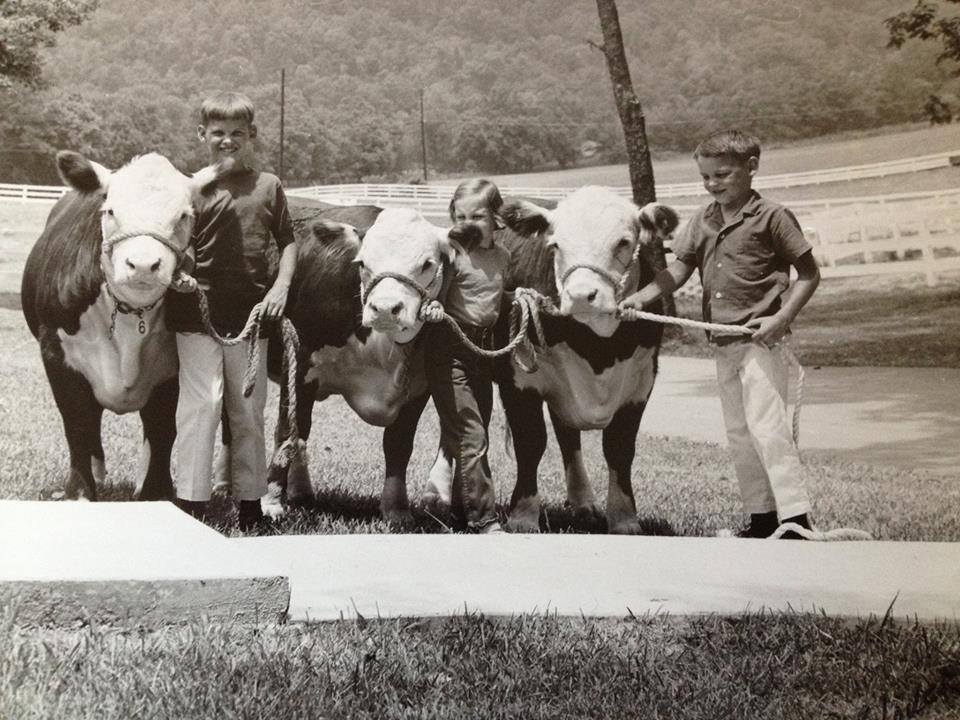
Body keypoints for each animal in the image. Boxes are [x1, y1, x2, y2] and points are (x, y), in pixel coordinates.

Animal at [22, 152, 221, 500]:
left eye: (184, 216)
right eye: (111, 210)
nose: (142, 265)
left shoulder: (173, 369)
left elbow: (161, 427)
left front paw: (155, 491)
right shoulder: (56, 355)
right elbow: (77, 422)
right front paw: (80, 492)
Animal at [262, 205, 454, 520]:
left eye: (427, 263)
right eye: (362, 262)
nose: (385, 309)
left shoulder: (417, 387)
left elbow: (399, 444)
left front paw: (396, 508)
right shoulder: (299, 363)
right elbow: (288, 431)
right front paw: (271, 501)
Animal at [424, 186, 680, 536]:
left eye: (624, 242)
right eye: (556, 245)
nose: (582, 295)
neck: (598, 349)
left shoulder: (641, 382)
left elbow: (619, 449)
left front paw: (624, 519)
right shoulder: (519, 381)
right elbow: (531, 443)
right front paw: (523, 515)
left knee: (566, 434)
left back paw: (583, 501)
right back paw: (437, 492)